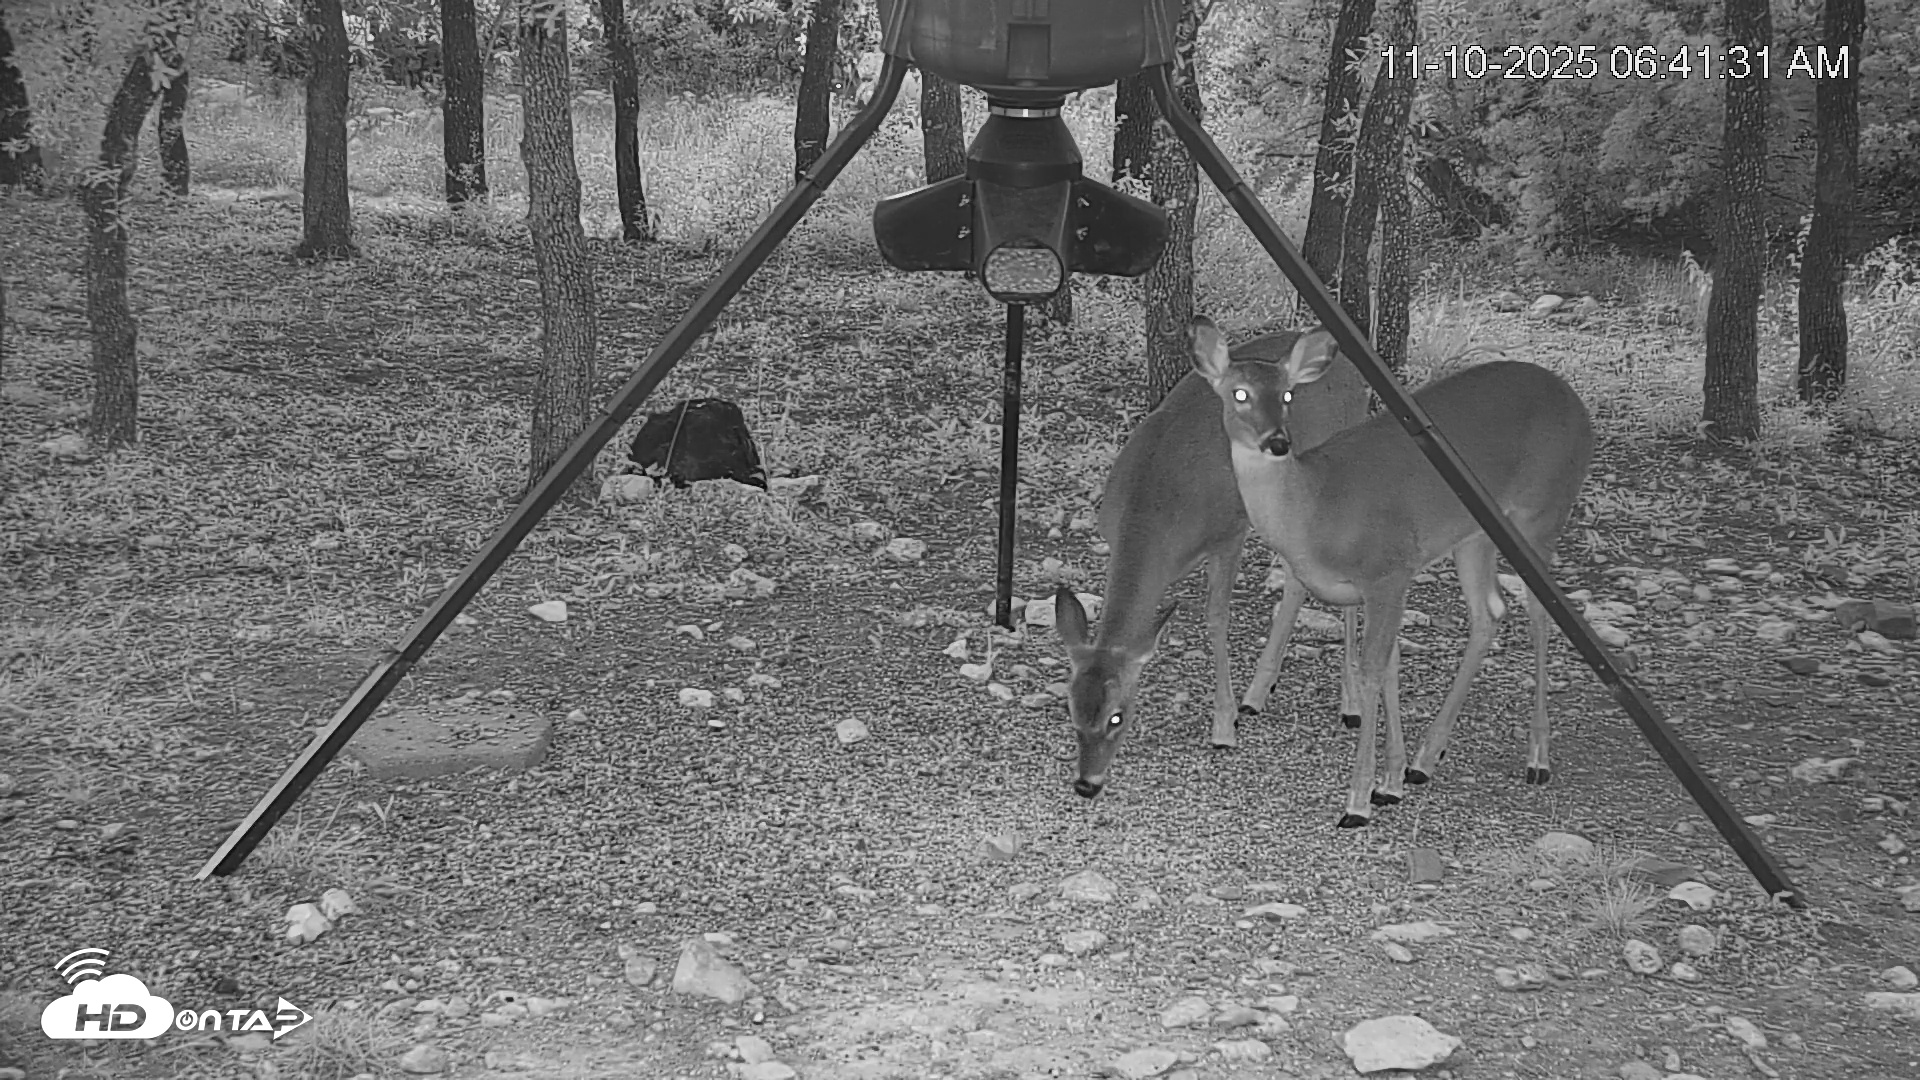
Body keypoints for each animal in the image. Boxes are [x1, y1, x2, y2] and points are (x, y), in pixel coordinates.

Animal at [1054, 328, 1371, 801]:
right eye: (1071, 706)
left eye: (1118, 715)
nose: (1086, 784)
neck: (1155, 510)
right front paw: (1239, 707)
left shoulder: (1228, 534)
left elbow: (1216, 618)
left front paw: (1224, 726)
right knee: (1298, 575)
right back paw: (1258, 692)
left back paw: (1350, 704)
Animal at [1190, 316, 1594, 827]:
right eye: (1238, 393)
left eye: (1287, 394)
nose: (1277, 443)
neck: (1316, 508)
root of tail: (1575, 401)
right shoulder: (1378, 585)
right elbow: (1389, 669)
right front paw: (1392, 780)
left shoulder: (1389, 568)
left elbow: (1370, 672)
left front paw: (1358, 802)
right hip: (1474, 536)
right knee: (1489, 613)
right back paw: (1427, 758)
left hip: (1542, 512)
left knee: (1542, 614)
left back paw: (1537, 759)